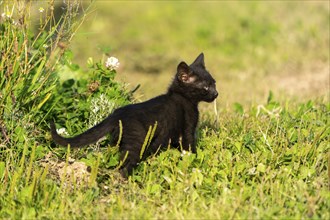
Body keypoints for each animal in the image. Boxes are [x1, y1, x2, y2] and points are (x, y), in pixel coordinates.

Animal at [50, 53, 218, 177]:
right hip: (135, 142)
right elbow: (190, 147)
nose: (216, 93)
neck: (182, 97)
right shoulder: (187, 129)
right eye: (205, 87)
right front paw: (195, 161)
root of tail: (117, 113)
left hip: (117, 141)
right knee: (124, 164)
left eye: (214, 83)